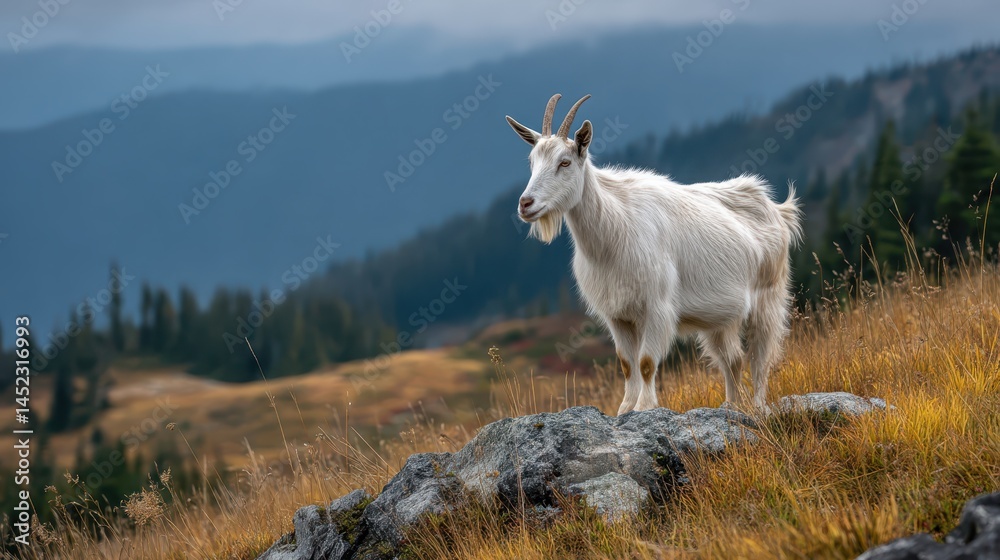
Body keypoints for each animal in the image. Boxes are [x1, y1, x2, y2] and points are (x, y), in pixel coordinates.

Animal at [505, 94, 802, 414]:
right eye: (532, 161)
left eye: (565, 162)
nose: (526, 204)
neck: (614, 231)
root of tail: (777, 210)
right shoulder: (617, 315)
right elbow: (627, 364)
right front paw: (624, 408)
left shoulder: (656, 307)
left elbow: (646, 363)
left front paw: (644, 407)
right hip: (718, 318)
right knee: (732, 360)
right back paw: (732, 406)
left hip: (767, 298)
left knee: (761, 357)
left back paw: (758, 406)